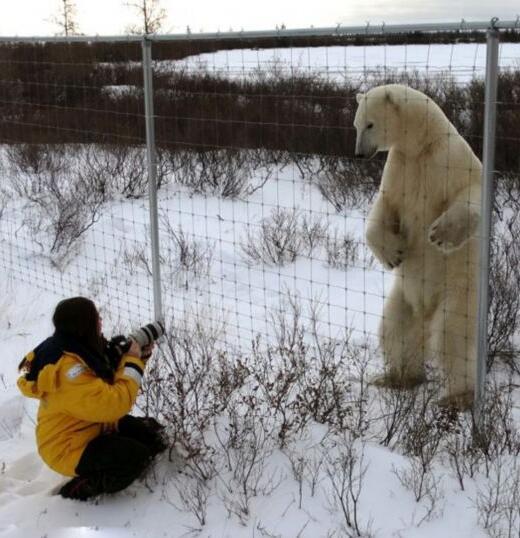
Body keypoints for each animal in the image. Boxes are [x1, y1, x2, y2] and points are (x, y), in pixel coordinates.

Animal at [356, 82, 482, 406]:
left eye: (370, 124)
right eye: (356, 124)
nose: (359, 154)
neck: (421, 145)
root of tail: (426, 310)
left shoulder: (449, 160)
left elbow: (469, 193)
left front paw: (440, 234)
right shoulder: (399, 168)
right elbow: (384, 208)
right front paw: (393, 254)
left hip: (459, 291)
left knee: (452, 337)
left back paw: (458, 397)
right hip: (403, 298)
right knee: (395, 330)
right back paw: (399, 378)